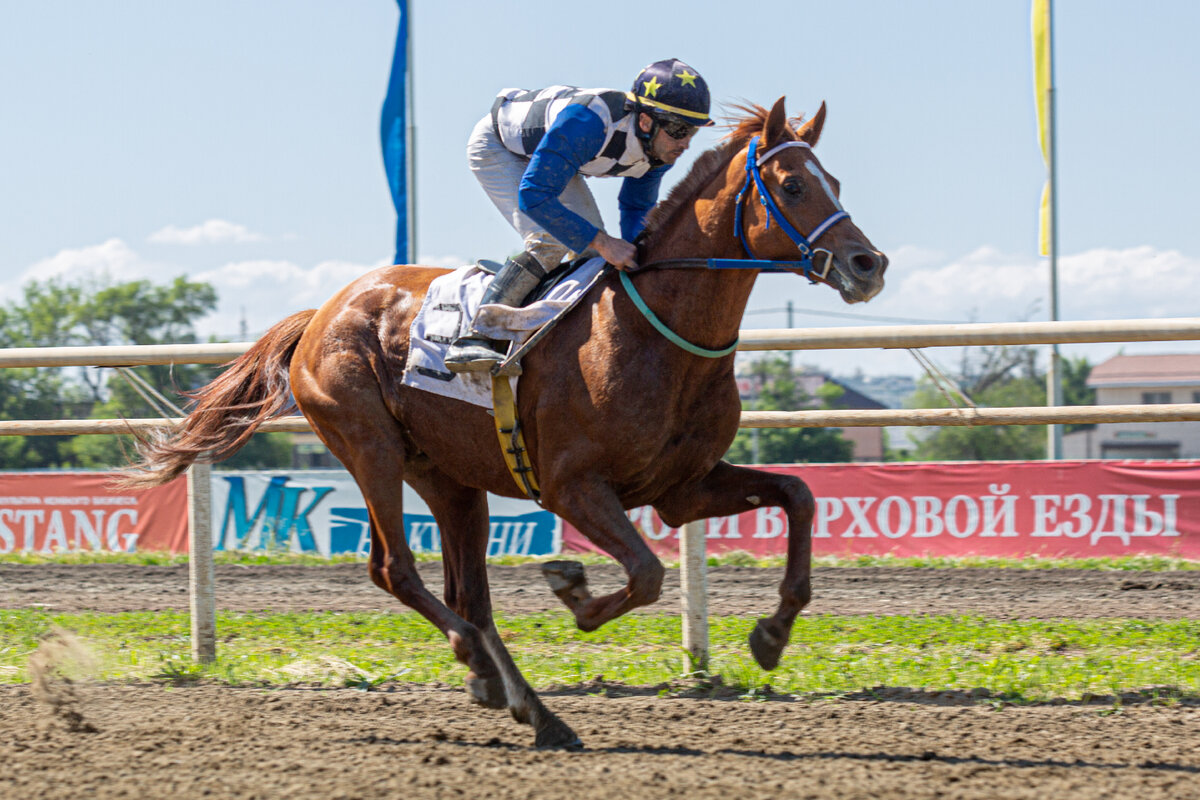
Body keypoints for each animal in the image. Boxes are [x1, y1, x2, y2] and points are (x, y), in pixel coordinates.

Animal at [126, 97, 888, 748]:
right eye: (793, 185)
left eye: (835, 180)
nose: (868, 263)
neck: (657, 335)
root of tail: (321, 313)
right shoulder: (573, 486)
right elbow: (644, 574)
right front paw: (573, 591)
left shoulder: (682, 487)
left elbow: (798, 495)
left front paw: (772, 634)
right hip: (368, 446)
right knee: (397, 570)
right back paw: (483, 670)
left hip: (450, 479)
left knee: (468, 595)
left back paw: (533, 709)